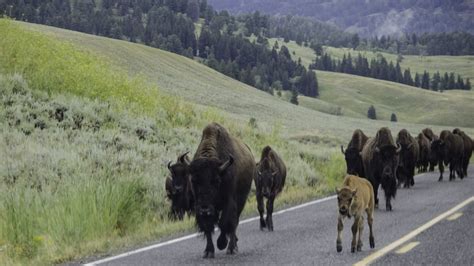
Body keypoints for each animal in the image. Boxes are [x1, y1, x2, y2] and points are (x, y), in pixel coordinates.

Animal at [189, 123, 256, 258]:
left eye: (216, 181)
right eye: (193, 180)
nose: (205, 209)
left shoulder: (229, 201)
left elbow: (225, 222)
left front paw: (222, 244)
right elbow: (208, 227)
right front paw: (208, 251)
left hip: (241, 201)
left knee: (234, 223)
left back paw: (232, 247)